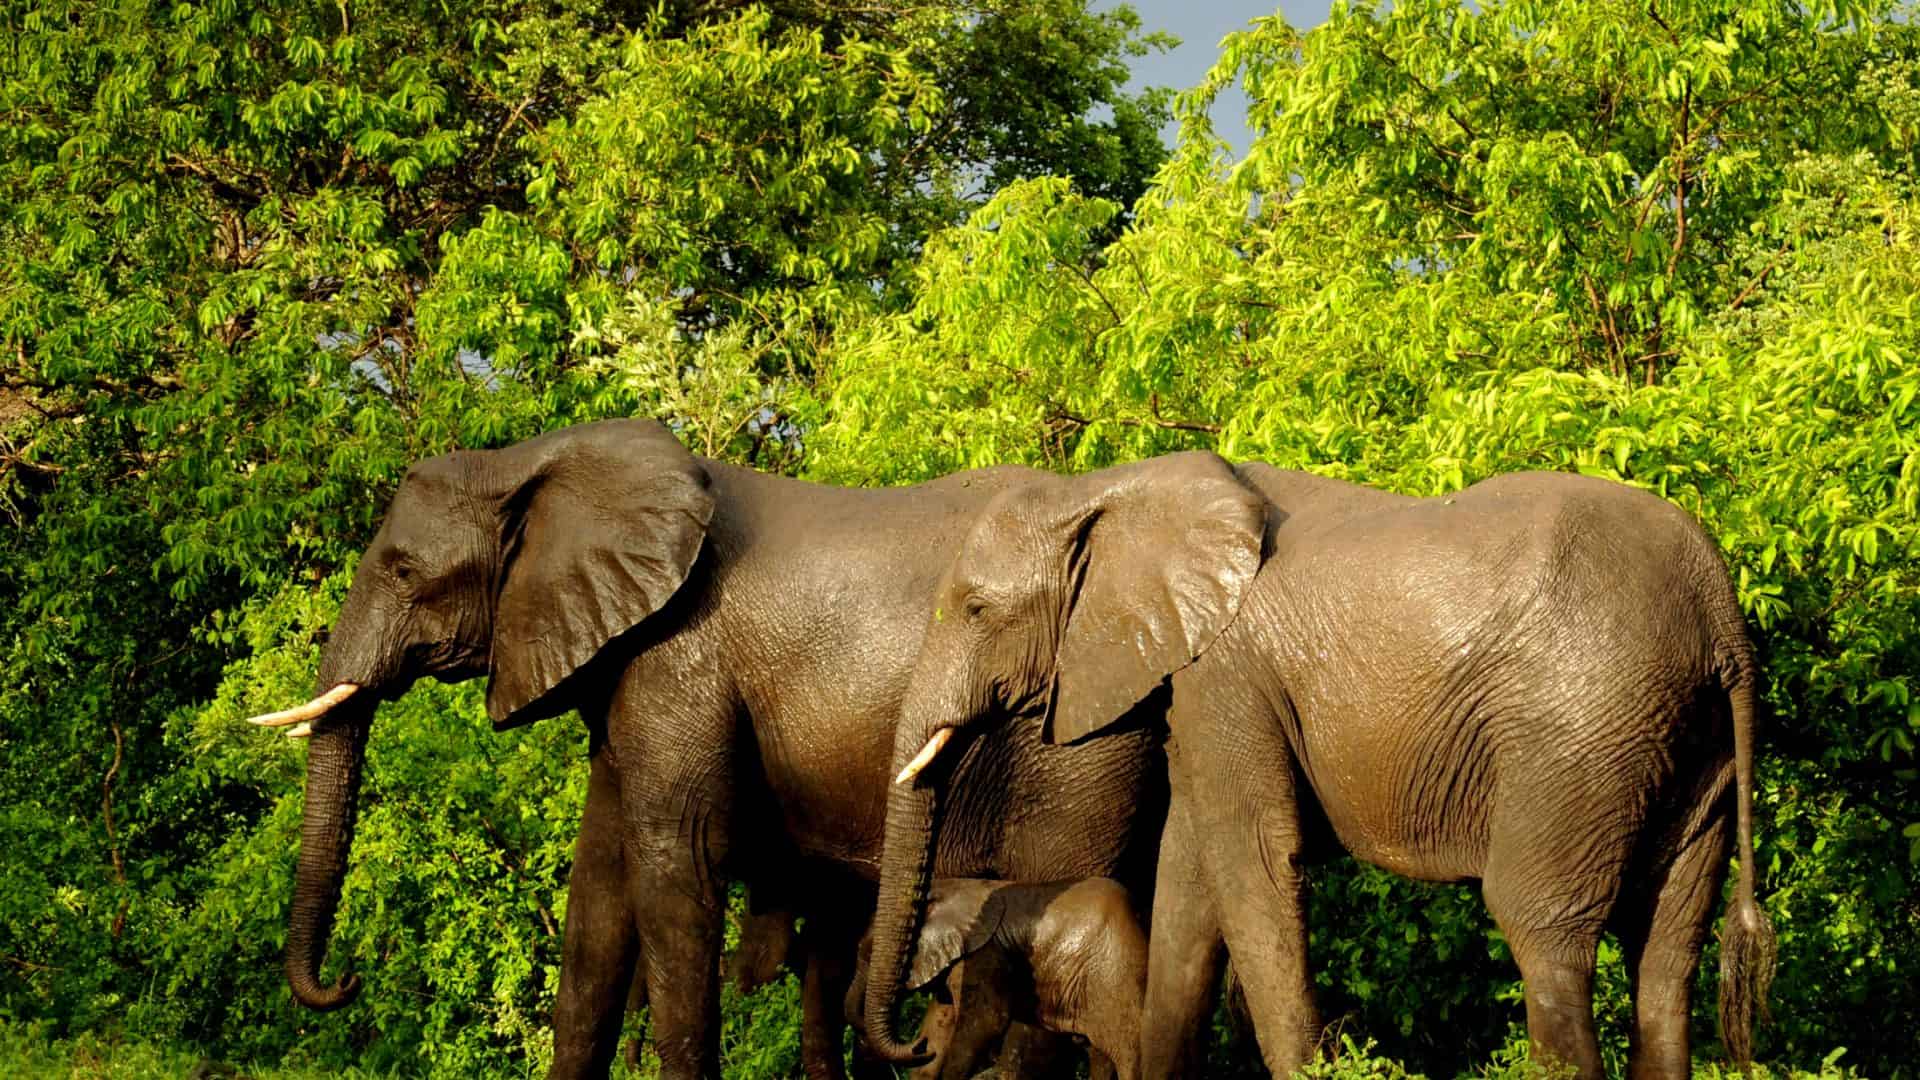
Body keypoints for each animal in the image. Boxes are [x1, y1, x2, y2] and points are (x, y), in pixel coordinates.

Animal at [850, 878, 1149, 1080]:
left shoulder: (983, 952)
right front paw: (930, 1047)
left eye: (869, 953)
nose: (917, 1045)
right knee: (1099, 1056)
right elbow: (942, 1022)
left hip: (1117, 982)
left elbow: (986, 1022)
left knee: (1129, 1057)